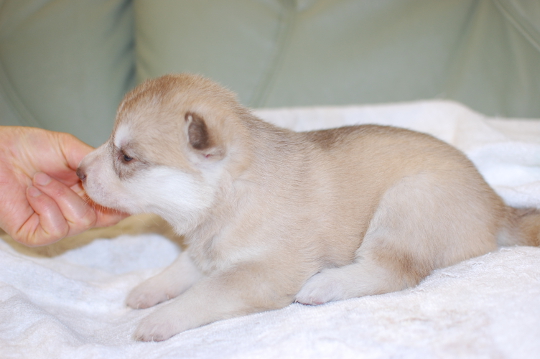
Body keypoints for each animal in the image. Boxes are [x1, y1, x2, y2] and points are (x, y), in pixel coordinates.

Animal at [78, 74, 536, 344]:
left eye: (126, 157)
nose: (79, 172)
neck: (236, 192)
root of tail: (498, 206)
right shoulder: (208, 250)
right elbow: (182, 267)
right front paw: (149, 289)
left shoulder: (261, 273)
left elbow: (207, 292)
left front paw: (162, 319)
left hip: (408, 201)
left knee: (395, 271)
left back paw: (325, 285)